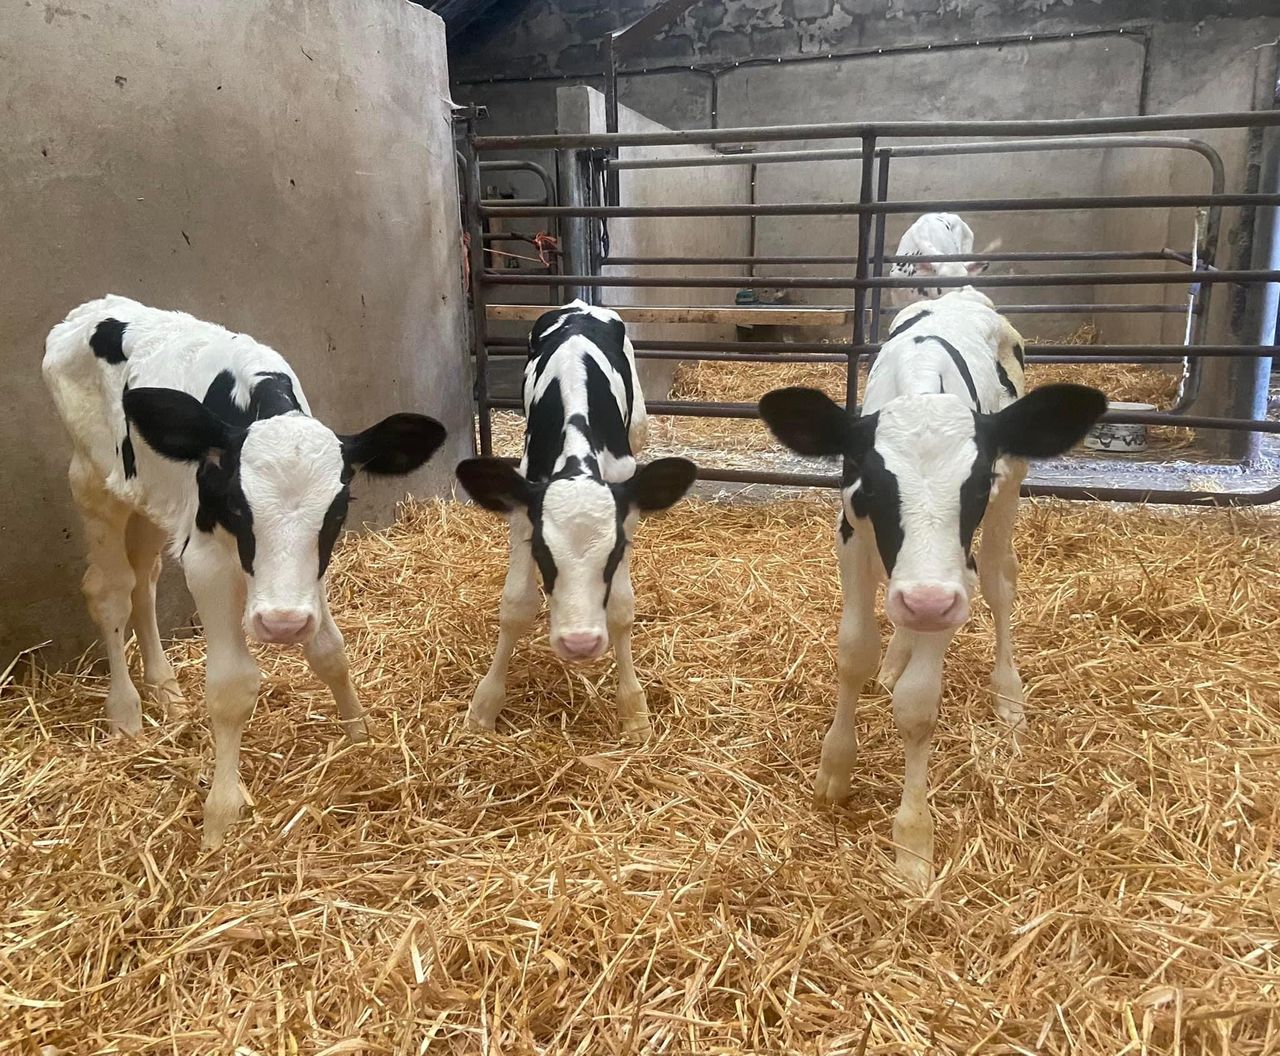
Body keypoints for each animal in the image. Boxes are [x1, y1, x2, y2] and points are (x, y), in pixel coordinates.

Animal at [43, 295, 447, 848]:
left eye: (339, 511)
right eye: (237, 505)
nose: (281, 624)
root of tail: (93, 308)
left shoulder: (309, 571)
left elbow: (329, 652)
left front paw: (359, 735)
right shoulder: (208, 560)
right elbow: (232, 686)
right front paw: (220, 813)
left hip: (147, 494)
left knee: (144, 582)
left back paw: (166, 692)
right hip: (92, 482)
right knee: (110, 592)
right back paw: (125, 711)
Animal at [455, 301, 696, 742]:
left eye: (614, 554)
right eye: (541, 554)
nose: (580, 643)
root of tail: (581, 306)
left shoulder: (625, 504)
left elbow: (620, 607)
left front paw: (633, 709)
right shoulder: (524, 507)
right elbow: (516, 606)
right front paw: (484, 706)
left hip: (639, 426)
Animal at [757, 288, 1105, 890]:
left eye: (976, 484)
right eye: (872, 484)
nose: (925, 601)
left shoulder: (953, 576)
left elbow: (918, 705)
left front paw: (913, 839)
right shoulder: (852, 534)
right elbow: (854, 652)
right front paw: (835, 768)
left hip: (1009, 499)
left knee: (1000, 581)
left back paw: (1007, 694)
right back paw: (897, 657)